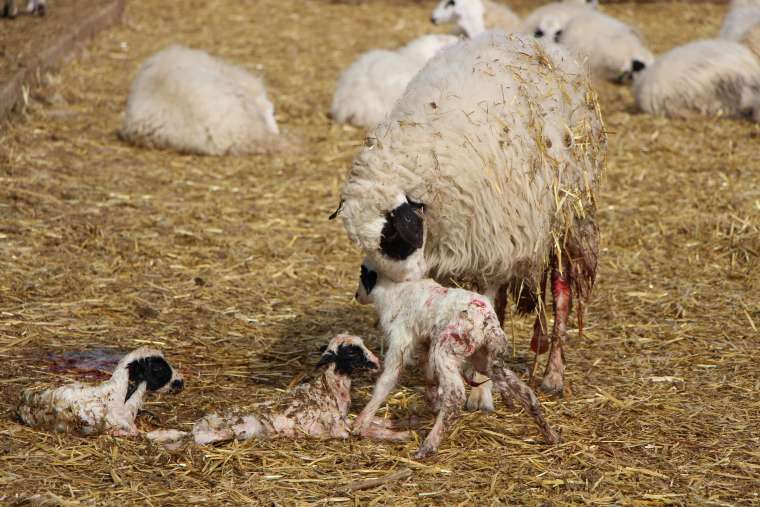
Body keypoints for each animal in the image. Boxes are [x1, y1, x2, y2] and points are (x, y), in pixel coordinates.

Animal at [336, 30, 608, 400]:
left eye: (392, 235)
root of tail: (533, 40)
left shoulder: (492, 240)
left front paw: (480, 390)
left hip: (566, 214)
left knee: (560, 290)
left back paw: (553, 374)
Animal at [352, 260, 560, 458]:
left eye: (362, 274)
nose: (356, 295)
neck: (394, 291)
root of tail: (488, 323)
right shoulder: (427, 342)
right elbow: (428, 375)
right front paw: (432, 402)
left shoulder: (401, 339)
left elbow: (387, 381)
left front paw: (360, 423)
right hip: (483, 358)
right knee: (524, 391)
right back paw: (549, 435)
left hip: (447, 350)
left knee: (456, 396)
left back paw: (428, 446)